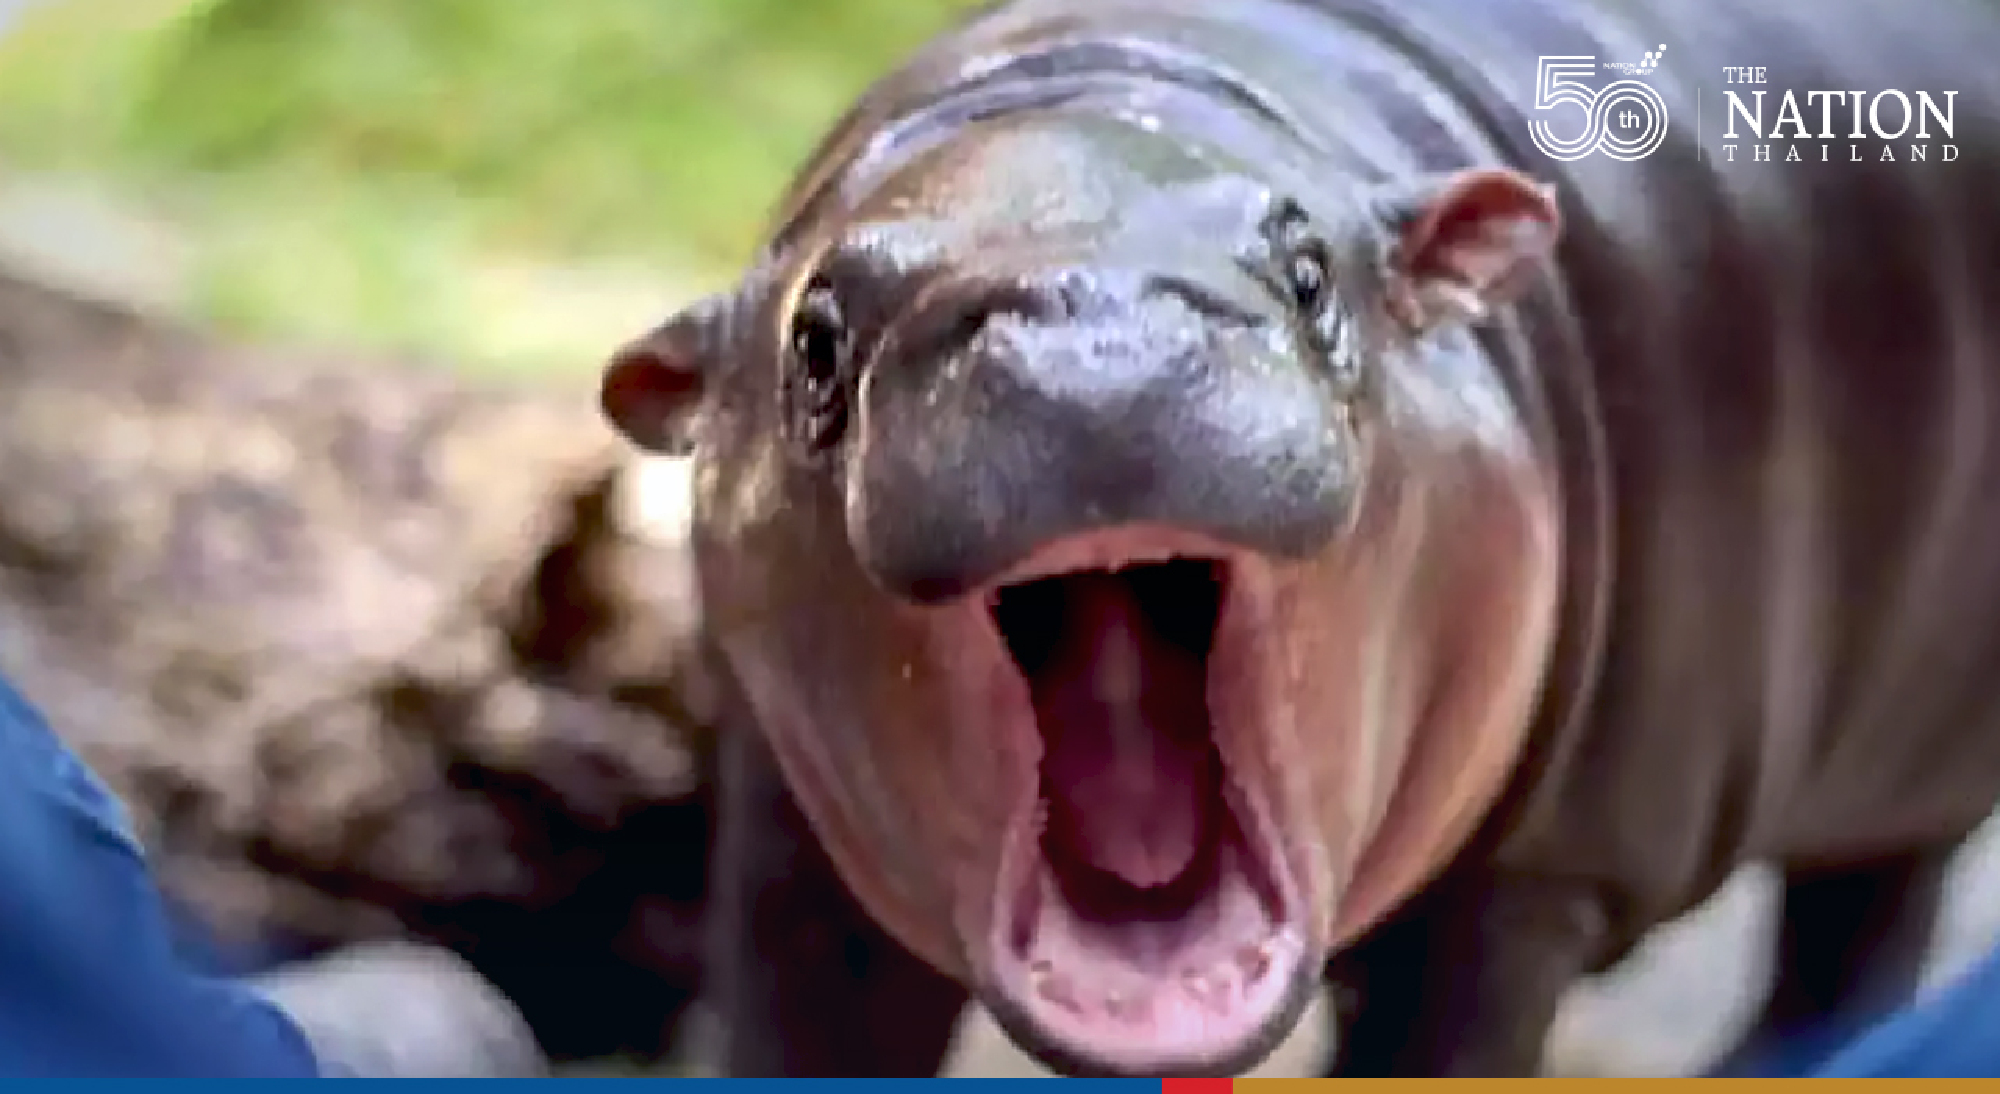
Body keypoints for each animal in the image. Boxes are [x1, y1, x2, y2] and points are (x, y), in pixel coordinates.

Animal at [598, 0, 2000, 1077]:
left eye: (1312, 272)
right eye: (813, 337)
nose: (1093, 344)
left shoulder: (1535, 881)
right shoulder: (787, 842)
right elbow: (797, 1013)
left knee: (1863, 932)